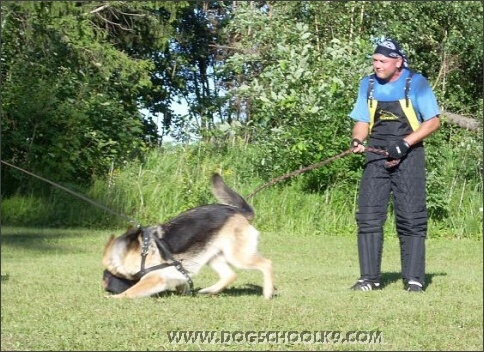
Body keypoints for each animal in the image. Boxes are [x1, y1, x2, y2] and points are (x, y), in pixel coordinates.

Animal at [101, 172, 276, 298]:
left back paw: (268, 292)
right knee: (231, 274)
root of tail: (239, 212)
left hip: (238, 256)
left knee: (267, 263)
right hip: (212, 255)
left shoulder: (155, 277)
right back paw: (209, 291)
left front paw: (114, 298)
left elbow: (129, 292)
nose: (104, 287)